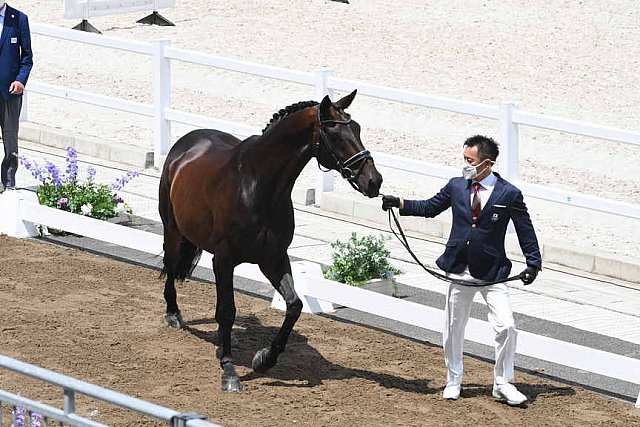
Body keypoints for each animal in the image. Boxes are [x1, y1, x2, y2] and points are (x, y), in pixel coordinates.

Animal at [158, 90, 382, 392]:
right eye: (334, 133)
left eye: (356, 128)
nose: (374, 181)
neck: (257, 185)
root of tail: (186, 145)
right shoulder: (224, 260)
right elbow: (227, 311)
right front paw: (229, 372)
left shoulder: (273, 258)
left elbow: (294, 305)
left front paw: (264, 359)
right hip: (173, 231)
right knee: (171, 267)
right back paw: (174, 315)